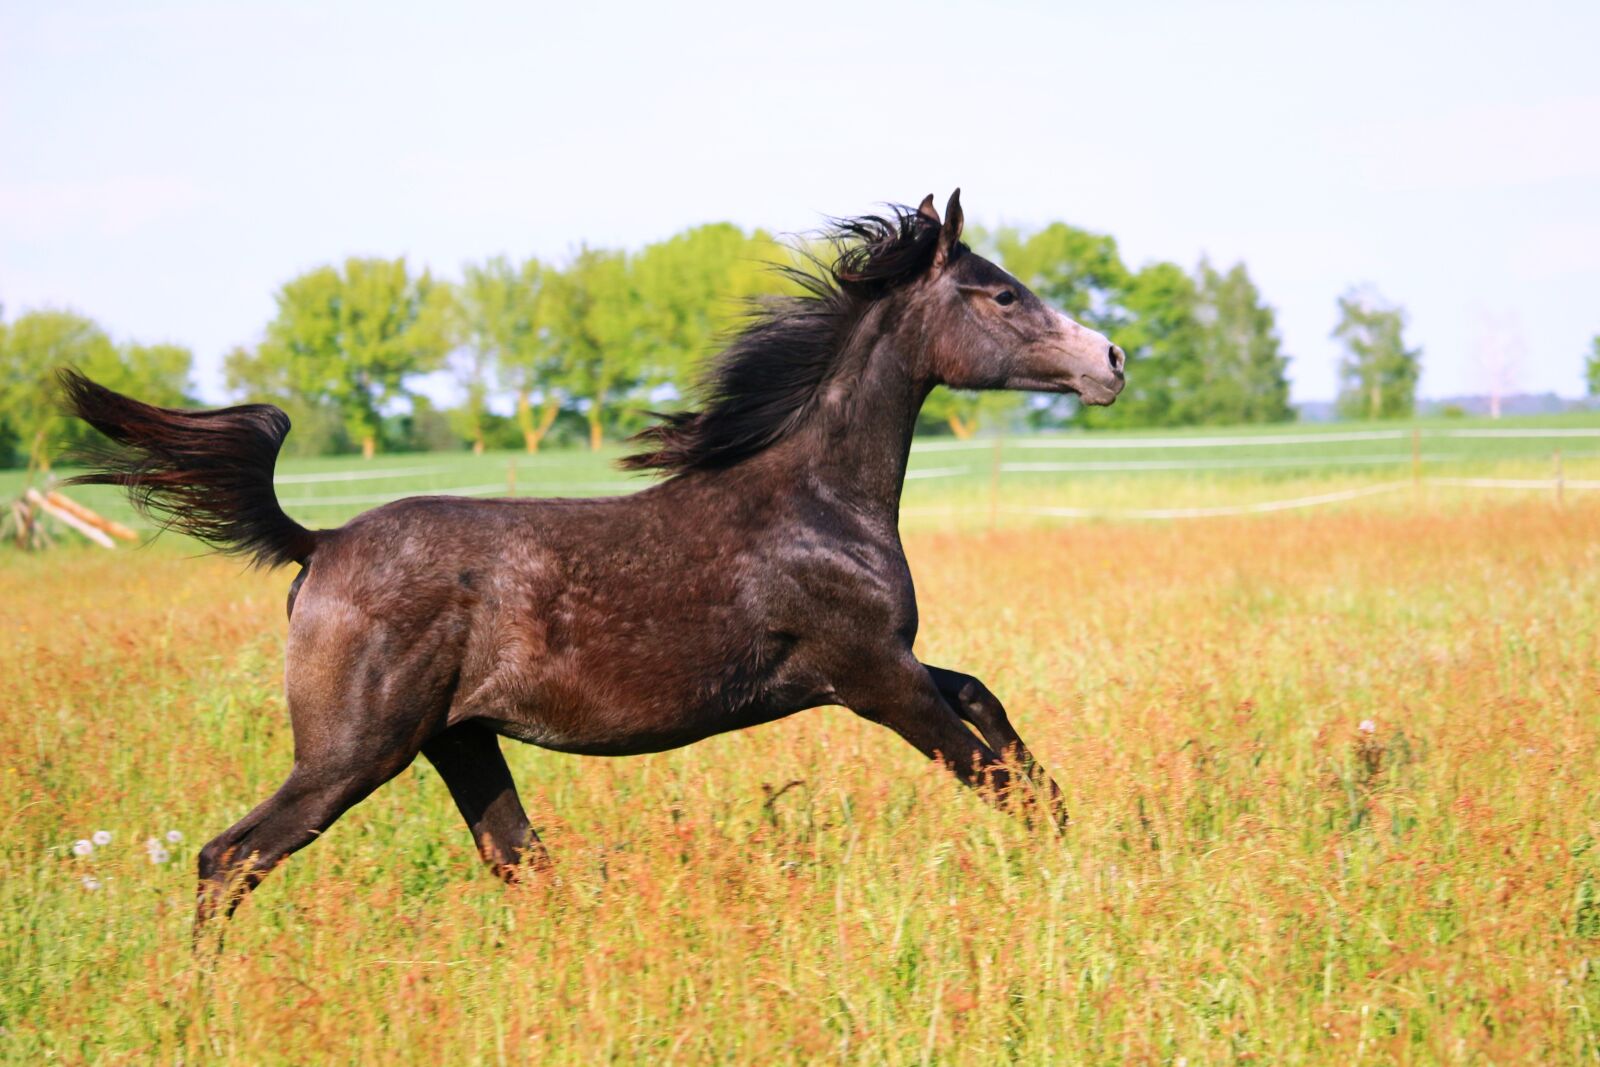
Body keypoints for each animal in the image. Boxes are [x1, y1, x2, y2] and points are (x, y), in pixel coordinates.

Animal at [61, 190, 1126, 929]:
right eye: (1002, 293)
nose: (1110, 361)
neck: (815, 504)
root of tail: (315, 544)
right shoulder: (870, 675)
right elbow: (988, 773)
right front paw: (1070, 872)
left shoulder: (882, 665)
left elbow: (988, 706)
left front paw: (1087, 834)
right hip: (351, 754)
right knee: (228, 857)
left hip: (459, 741)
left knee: (517, 859)